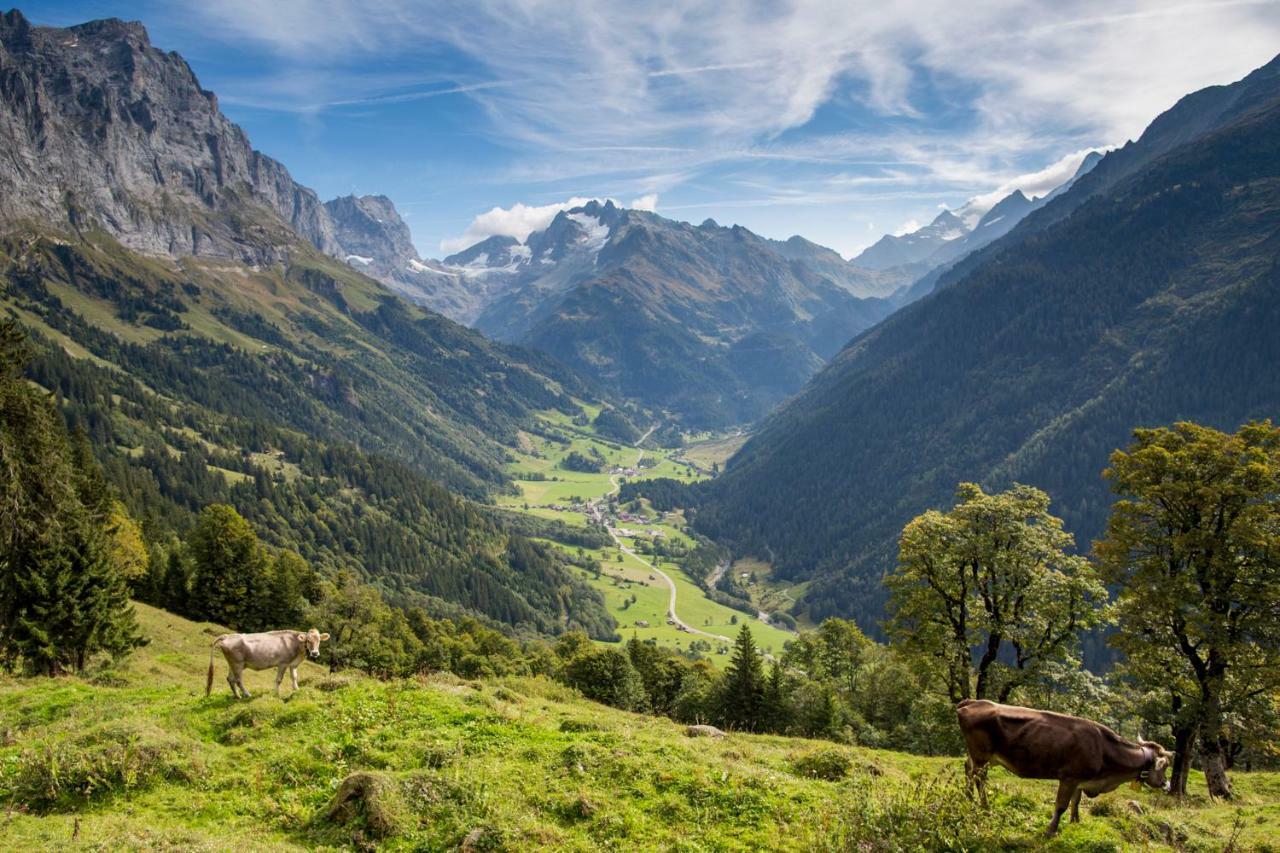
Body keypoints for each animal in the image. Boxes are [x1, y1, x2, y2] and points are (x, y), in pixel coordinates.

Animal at [957, 696, 1172, 829]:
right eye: (1164, 766)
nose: (1166, 784)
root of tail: (972, 702)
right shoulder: (1069, 778)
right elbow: (1061, 805)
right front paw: (1051, 830)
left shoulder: (1080, 779)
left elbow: (1076, 801)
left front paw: (1075, 821)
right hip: (982, 755)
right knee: (979, 779)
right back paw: (984, 807)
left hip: (980, 756)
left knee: (968, 770)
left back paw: (968, 799)